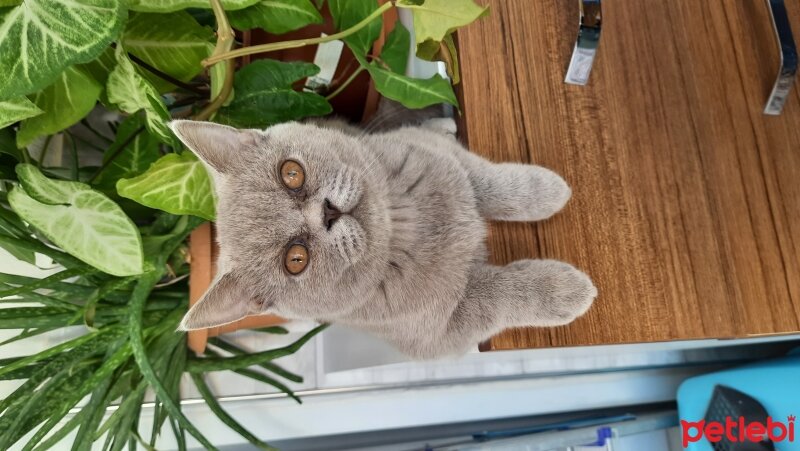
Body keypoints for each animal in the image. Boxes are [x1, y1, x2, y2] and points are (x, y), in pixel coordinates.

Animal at [172, 116, 596, 360]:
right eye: (295, 259)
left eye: (291, 173)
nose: (327, 213)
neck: (406, 224)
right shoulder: (442, 331)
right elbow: (500, 294)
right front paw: (566, 290)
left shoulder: (447, 159)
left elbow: (494, 183)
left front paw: (550, 190)